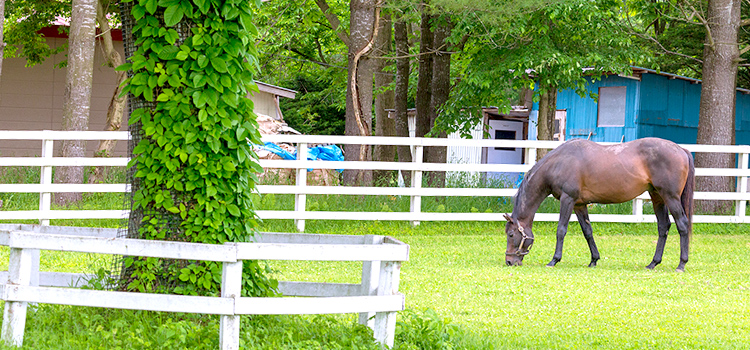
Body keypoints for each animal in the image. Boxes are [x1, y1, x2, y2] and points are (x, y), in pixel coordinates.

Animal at [506, 138, 700, 272]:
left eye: (510, 234)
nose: (509, 261)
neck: (559, 163)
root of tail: (681, 149)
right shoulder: (579, 204)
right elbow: (587, 232)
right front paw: (594, 260)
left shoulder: (567, 200)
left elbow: (561, 230)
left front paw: (554, 260)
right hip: (657, 197)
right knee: (663, 226)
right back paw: (653, 263)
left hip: (670, 197)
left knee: (682, 225)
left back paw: (681, 264)